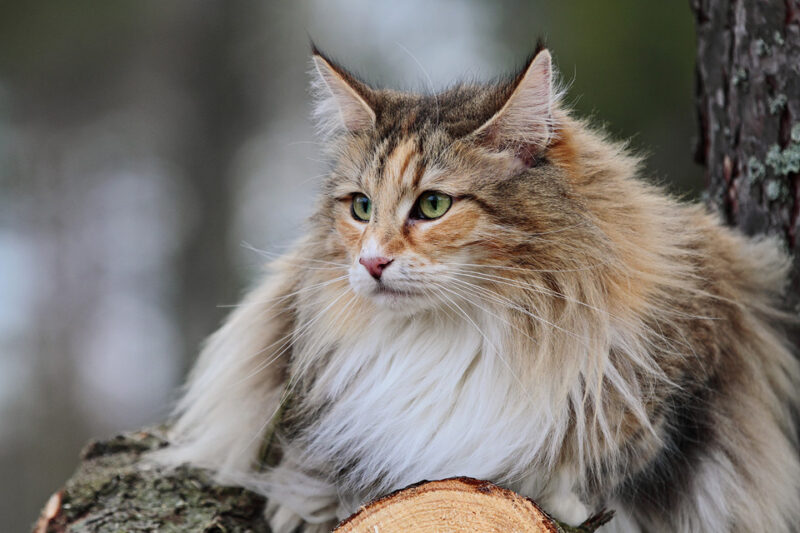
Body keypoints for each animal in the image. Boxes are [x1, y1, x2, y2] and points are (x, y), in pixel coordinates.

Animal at [156, 46, 800, 532]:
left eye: (432, 206)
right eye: (361, 208)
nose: (371, 262)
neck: (460, 335)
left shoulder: (693, 368)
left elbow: (614, 464)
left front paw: (564, 497)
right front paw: (306, 506)